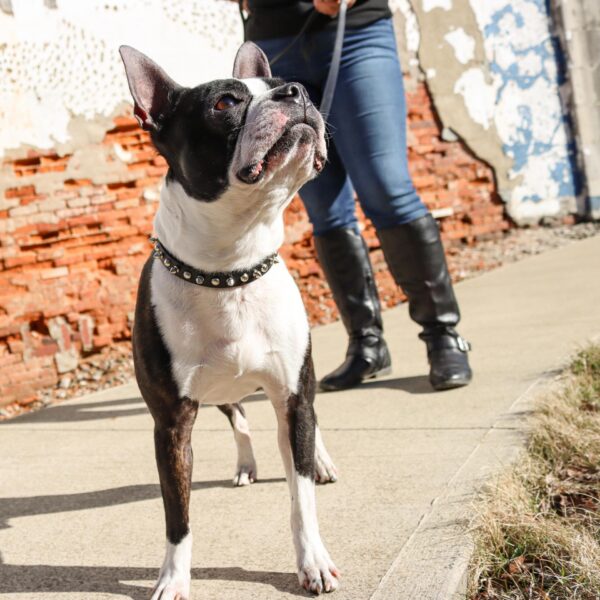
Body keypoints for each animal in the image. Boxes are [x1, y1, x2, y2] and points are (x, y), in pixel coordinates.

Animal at [119, 43, 340, 600]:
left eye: (286, 85)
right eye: (224, 103)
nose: (297, 93)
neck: (230, 270)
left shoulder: (293, 393)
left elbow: (301, 497)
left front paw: (313, 561)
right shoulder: (171, 425)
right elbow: (178, 516)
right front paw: (173, 579)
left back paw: (320, 459)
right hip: (215, 394)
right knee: (238, 416)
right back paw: (246, 464)